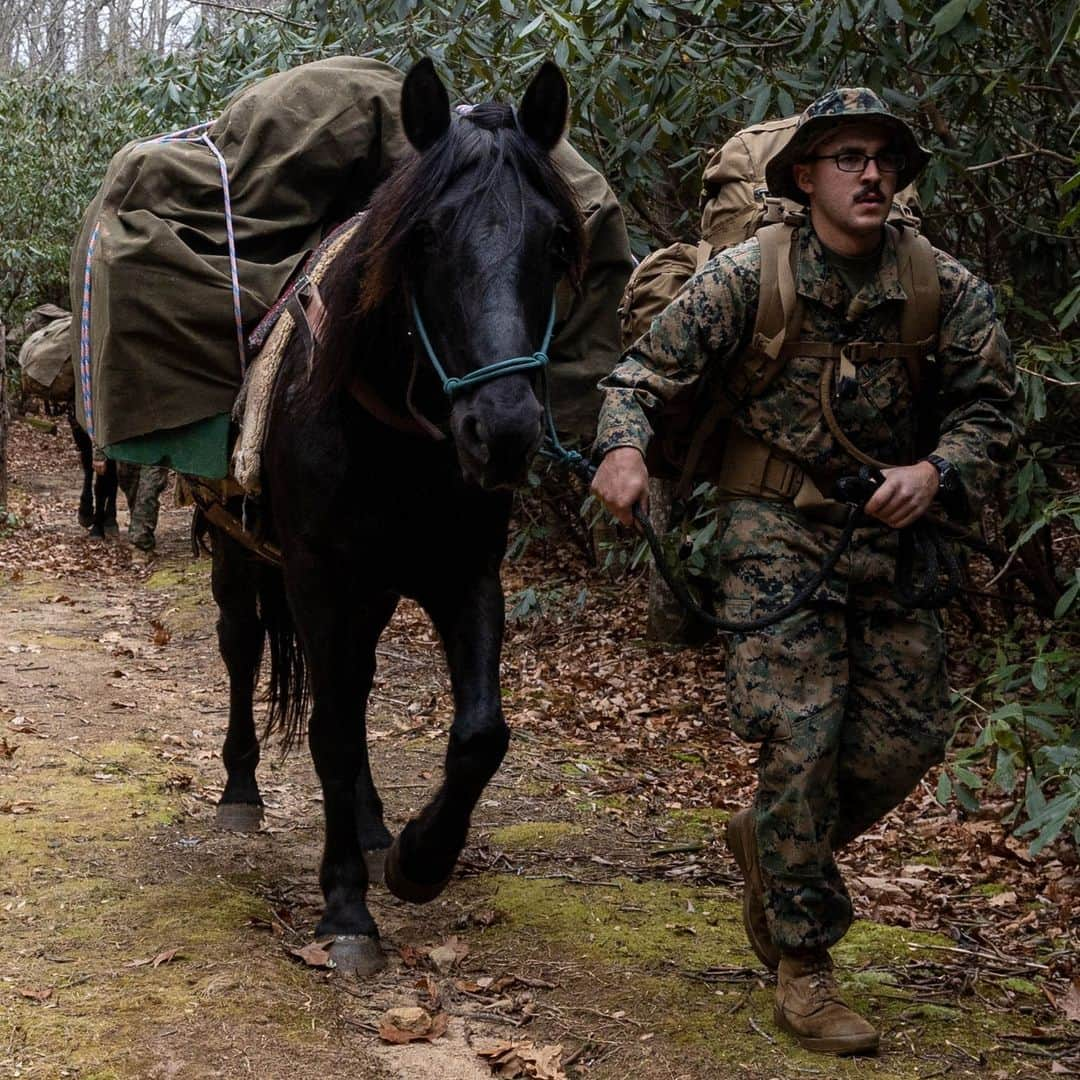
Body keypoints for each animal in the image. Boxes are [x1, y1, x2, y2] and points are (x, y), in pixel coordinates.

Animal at [206, 54, 587, 976]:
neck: (395, 440)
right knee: (243, 649)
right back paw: (240, 791)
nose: (504, 431)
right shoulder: (316, 578)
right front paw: (345, 908)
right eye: (424, 238)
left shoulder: (464, 575)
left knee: (359, 681)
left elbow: (481, 733)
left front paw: (419, 858)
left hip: (374, 594)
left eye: (555, 242)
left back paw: (377, 824)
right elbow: (332, 735)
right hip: (243, 559)